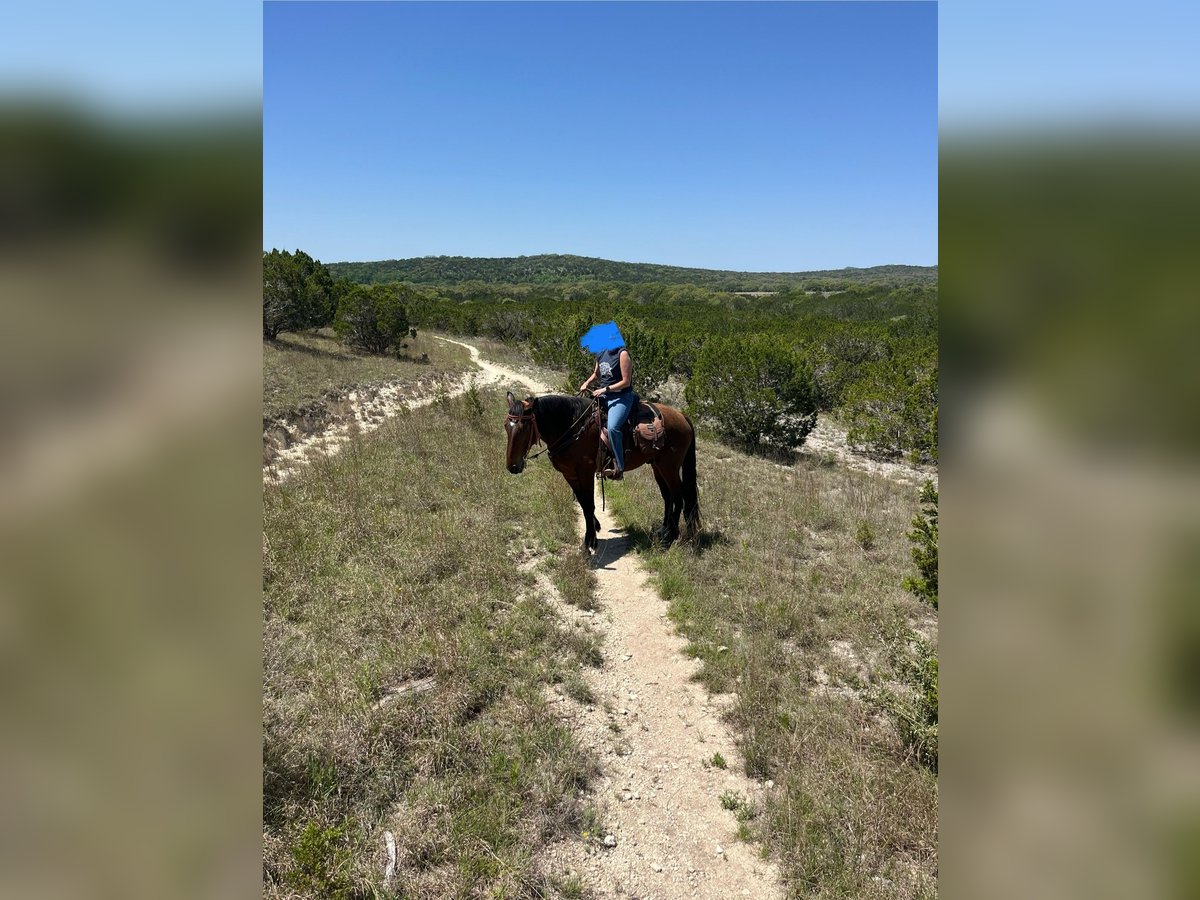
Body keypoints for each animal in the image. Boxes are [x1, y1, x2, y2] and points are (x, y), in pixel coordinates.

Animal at [504, 391, 700, 554]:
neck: (572, 427)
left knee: (678, 496)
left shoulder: (585, 472)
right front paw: (594, 531)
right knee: (668, 496)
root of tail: (683, 416)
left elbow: (589, 505)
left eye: (523, 427)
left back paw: (672, 536)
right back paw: (664, 530)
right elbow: (583, 503)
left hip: (669, 467)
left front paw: (588, 543)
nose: (513, 467)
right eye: (506, 425)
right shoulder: (569, 474)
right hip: (657, 466)